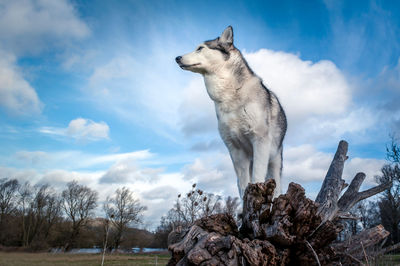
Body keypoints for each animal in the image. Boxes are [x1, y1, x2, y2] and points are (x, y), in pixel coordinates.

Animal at [174, 26, 284, 198]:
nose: (177, 58)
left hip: (275, 160)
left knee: (277, 186)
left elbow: (257, 176)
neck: (231, 94)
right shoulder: (235, 149)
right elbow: (243, 183)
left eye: (200, 48)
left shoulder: (260, 140)